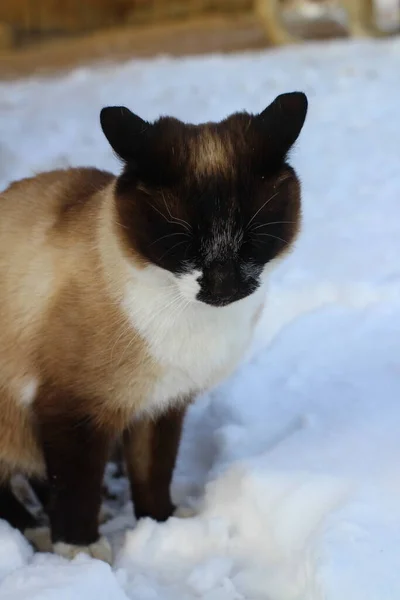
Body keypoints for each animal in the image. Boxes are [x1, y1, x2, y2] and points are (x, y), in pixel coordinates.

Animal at [0, 89, 310, 564]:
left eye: (252, 241)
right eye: (181, 244)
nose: (223, 285)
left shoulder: (161, 406)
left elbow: (153, 474)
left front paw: (161, 527)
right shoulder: (72, 410)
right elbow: (75, 489)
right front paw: (81, 553)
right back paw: (39, 532)